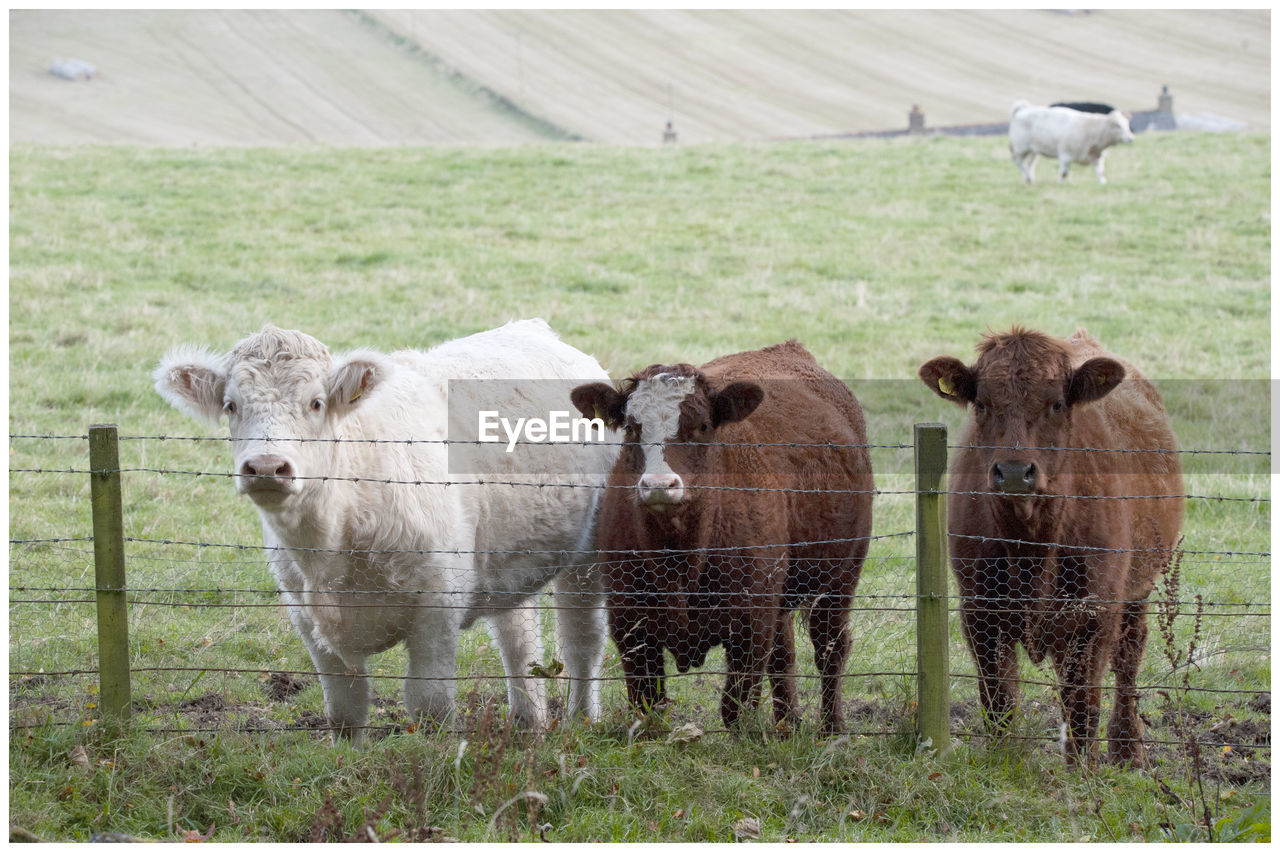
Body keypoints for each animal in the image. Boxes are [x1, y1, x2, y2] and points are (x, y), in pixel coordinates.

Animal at [154, 318, 619, 736]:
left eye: (316, 403)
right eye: (231, 405)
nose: (266, 467)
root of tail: (531, 327)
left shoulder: (437, 605)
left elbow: (430, 705)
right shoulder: (307, 617)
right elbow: (346, 710)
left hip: (589, 556)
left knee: (582, 641)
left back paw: (581, 720)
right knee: (517, 639)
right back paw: (527, 722)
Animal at [576, 337, 875, 731]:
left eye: (703, 426)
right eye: (631, 427)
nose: (659, 485)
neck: (681, 556)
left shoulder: (750, 627)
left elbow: (736, 709)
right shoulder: (631, 628)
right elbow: (647, 707)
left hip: (841, 578)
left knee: (830, 650)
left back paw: (832, 729)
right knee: (785, 655)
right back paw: (788, 725)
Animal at [921, 327, 1177, 767]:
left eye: (1057, 402)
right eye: (982, 403)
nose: (1013, 472)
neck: (1032, 542)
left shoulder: (1095, 614)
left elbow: (1082, 704)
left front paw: (1082, 771)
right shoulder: (979, 611)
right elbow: (999, 699)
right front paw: (1001, 763)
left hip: (1136, 589)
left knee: (1129, 655)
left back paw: (1128, 750)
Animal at [1003, 101, 1136, 184]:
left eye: (1127, 124)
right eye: (1117, 125)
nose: (1131, 138)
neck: (1094, 129)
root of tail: (1022, 109)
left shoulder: (1096, 156)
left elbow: (1100, 172)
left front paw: (1103, 183)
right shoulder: (1065, 154)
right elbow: (1064, 173)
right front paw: (1060, 184)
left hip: (1034, 150)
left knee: (1029, 164)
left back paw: (1030, 178)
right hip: (1020, 147)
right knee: (1018, 161)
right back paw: (1027, 177)